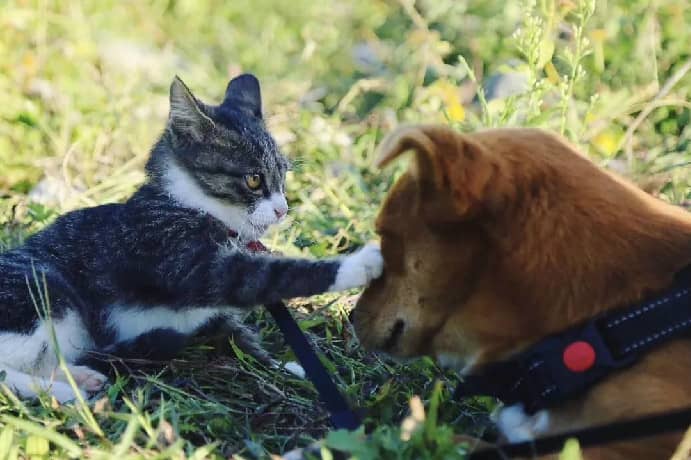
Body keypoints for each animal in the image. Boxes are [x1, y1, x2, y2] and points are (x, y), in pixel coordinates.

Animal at [0, 72, 384, 402]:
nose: (282, 209)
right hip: (44, 292)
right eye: (254, 180)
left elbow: (239, 334)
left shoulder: (212, 315)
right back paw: (64, 391)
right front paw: (360, 263)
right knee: (6, 374)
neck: (190, 204)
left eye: (283, 176)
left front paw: (286, 366)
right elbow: (266, 276)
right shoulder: (175, 256)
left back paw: (79, 375)